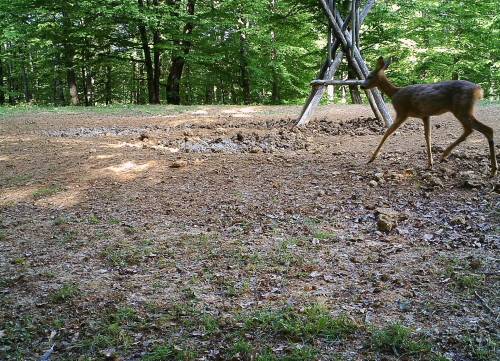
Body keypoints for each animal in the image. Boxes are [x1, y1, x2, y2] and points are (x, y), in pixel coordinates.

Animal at [360, 56, 496, 177]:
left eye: (369, 76)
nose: (362, 86)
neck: (394, 93)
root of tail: (478, 90)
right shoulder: (425, 115)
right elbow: (427, 136)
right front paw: (430, 163)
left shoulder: (402, 112)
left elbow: (387, 133)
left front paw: (372, 158)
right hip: (461, 110)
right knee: (469, 130)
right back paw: (444, 155)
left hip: (461, 109)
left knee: (487, 129)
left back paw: (493, 170)